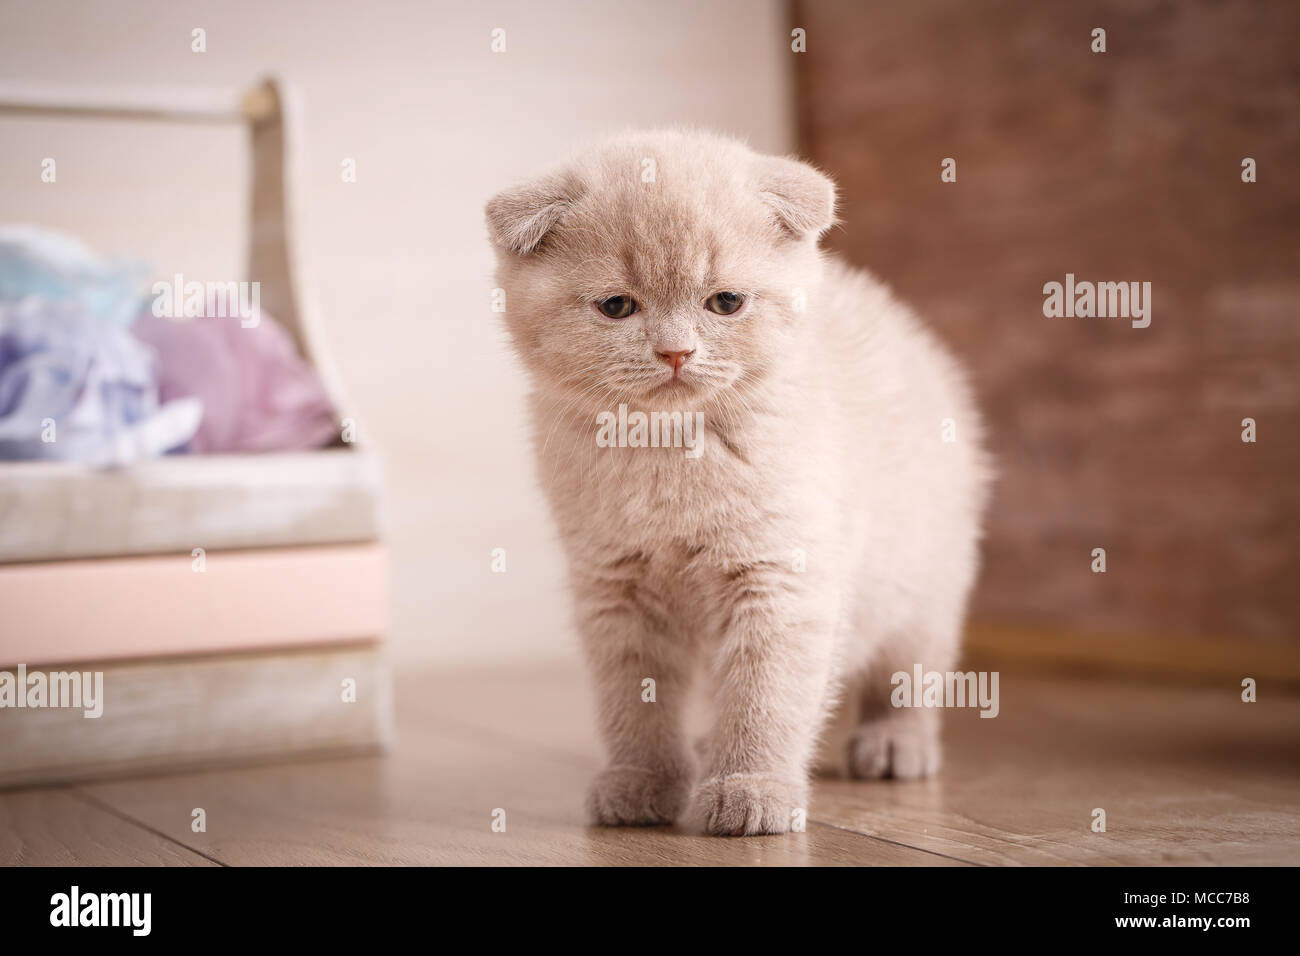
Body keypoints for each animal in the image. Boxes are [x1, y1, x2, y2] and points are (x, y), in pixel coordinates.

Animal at [486, 130, 982, 832]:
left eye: (725, 302)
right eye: (616, 306)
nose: (675, 352)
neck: (668, 456)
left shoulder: (779, 577)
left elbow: (763, 694)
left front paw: (751, 788)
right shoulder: (615, 587)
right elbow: (634, 700)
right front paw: (642, 780)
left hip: (923, 576)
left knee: (909, 670)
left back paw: (894, 744)